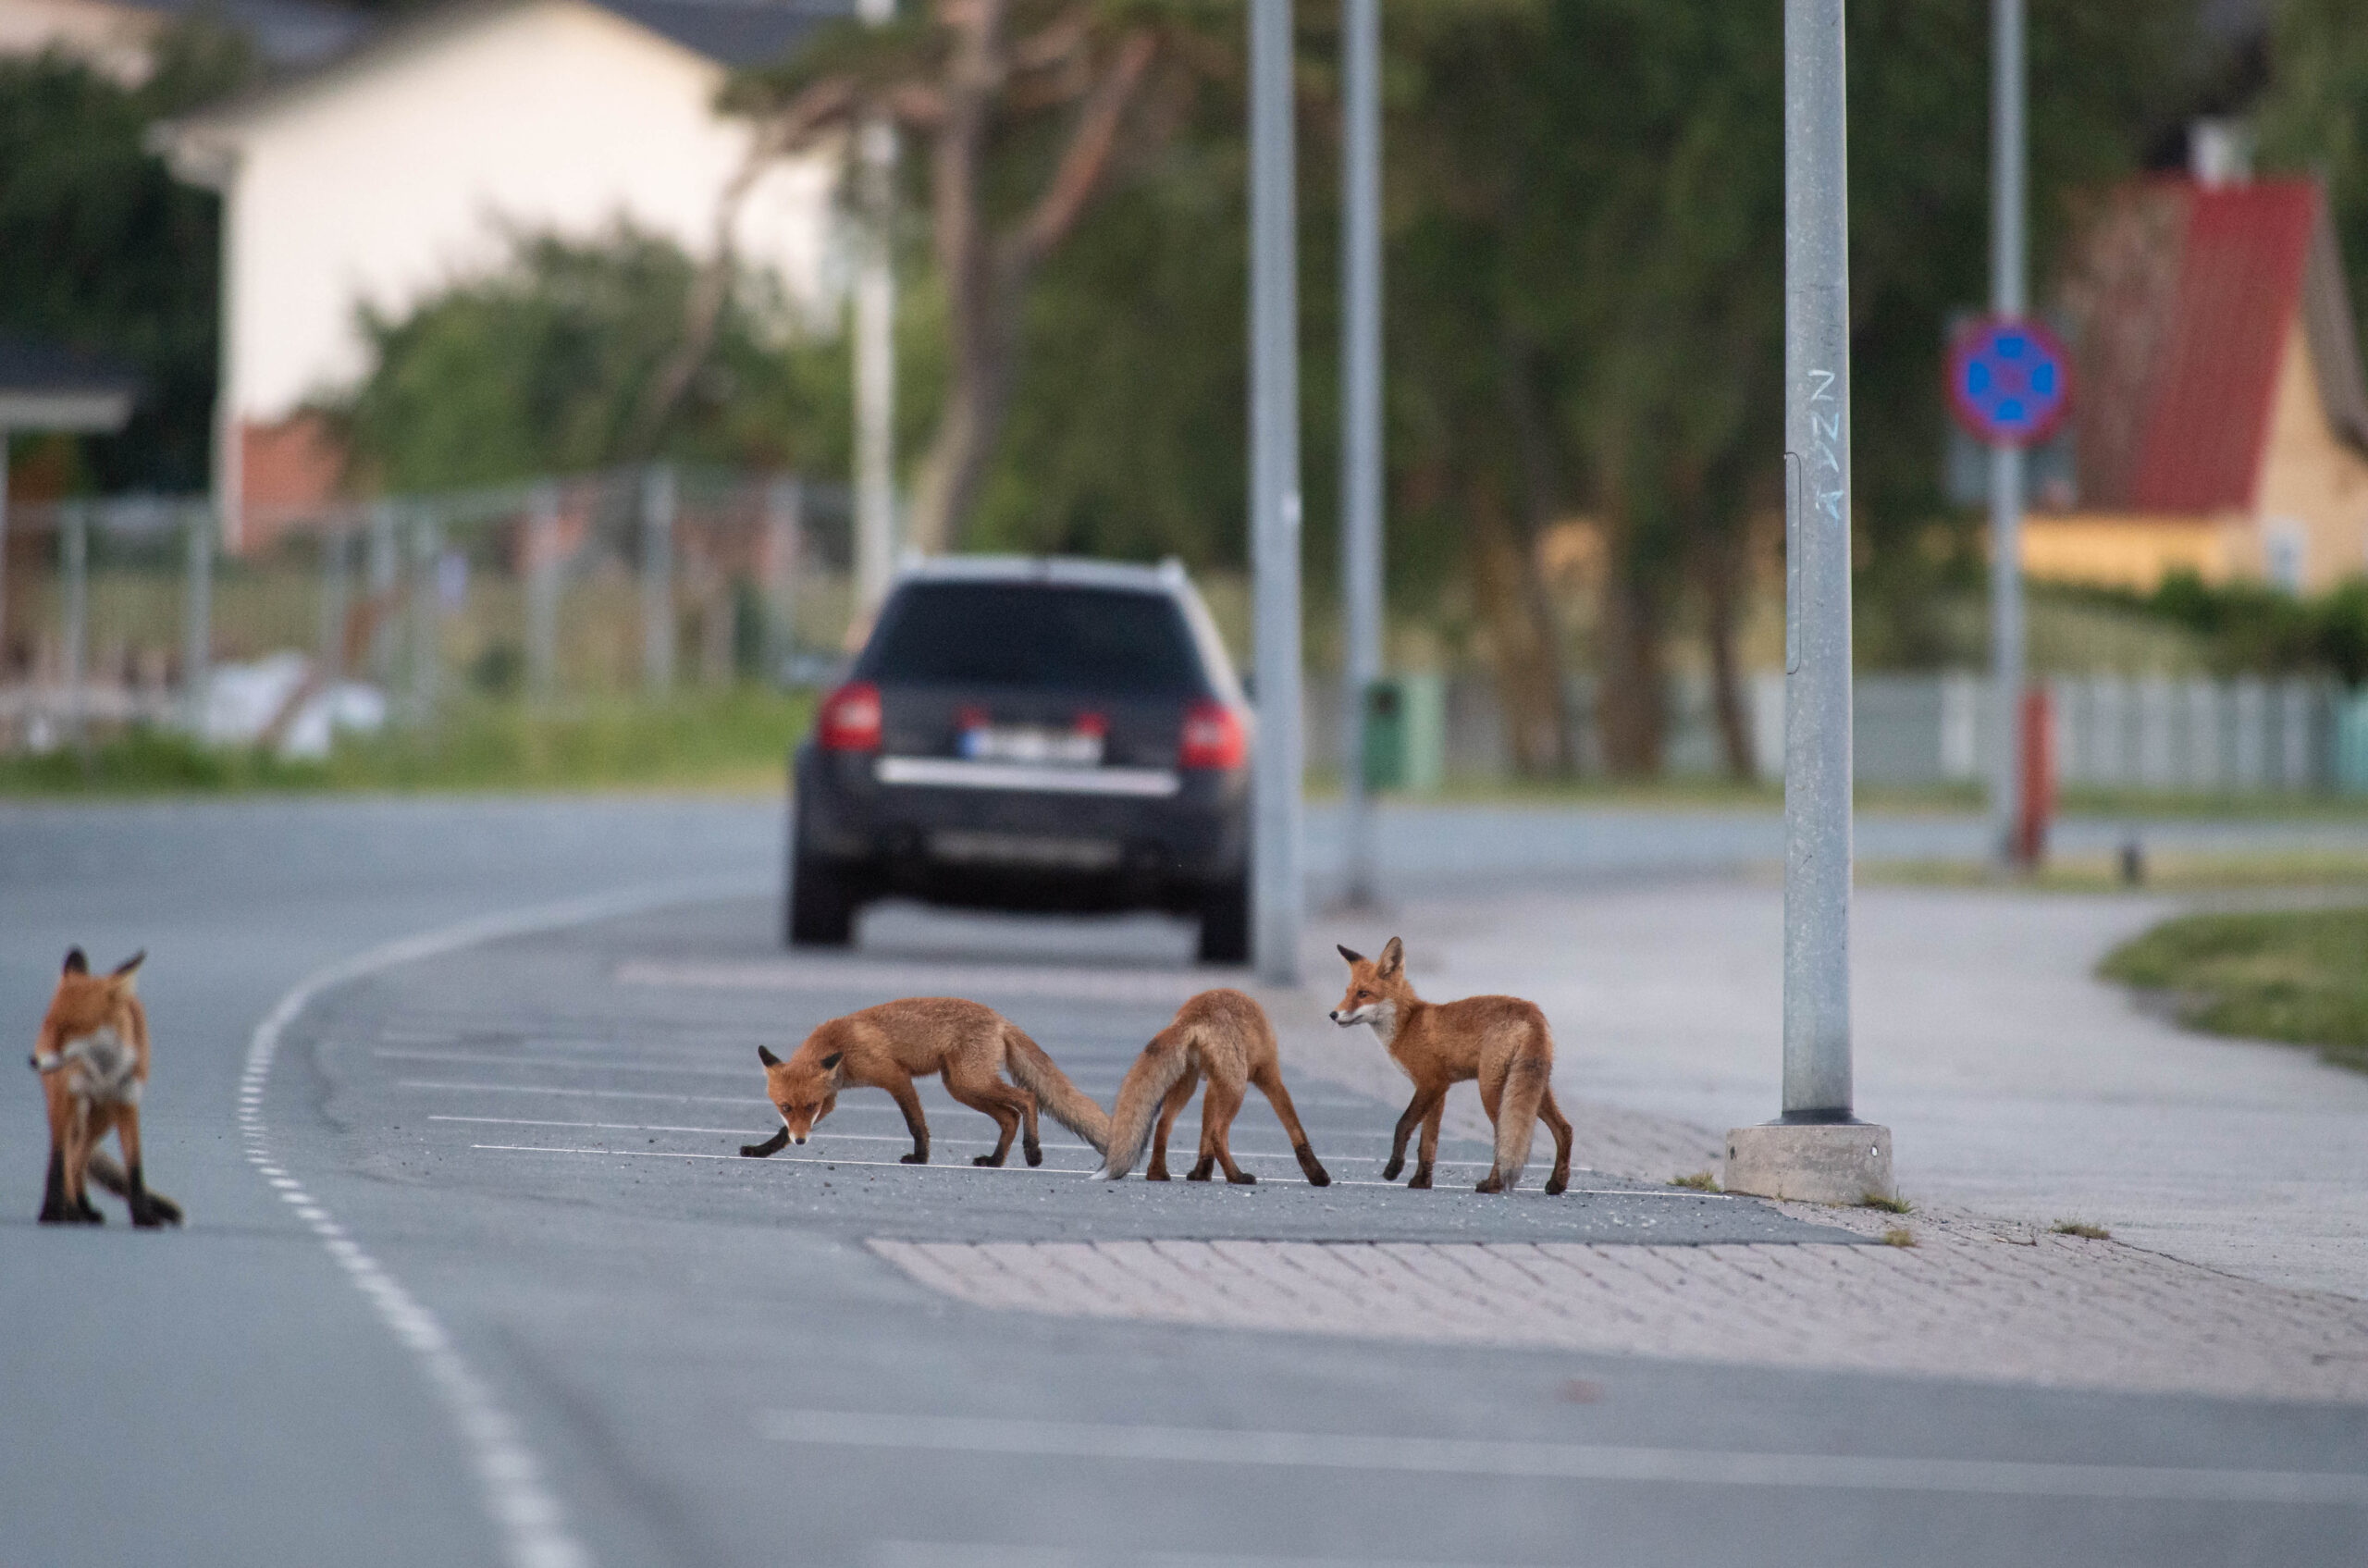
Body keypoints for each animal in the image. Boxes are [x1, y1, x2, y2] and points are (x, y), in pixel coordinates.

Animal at [30, 952, 184, 1231]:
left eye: (70, 1027)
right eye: (49, 1024)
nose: (33, 1061)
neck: (102, 1070)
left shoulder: (126, 1102)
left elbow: (134, 1168)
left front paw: (143, 1217)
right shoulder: (66, 1096)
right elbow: (57, 1163)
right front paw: (51, 1212)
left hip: (102, 1118)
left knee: (79, 1157)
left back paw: (81, 1208)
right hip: (71, 1108)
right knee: (70, 1156)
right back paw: (72, 1210)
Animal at [738, 1008, 1108, 1165]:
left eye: (809, 1106)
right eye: (786, 1107)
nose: (803, 1142)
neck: (841, 1047)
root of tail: (1001, 1019)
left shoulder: (896, 1077)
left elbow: (916, 1124)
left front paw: (920, 1158)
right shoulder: (830, 1097)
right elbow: (781, 1133)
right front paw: (761, 1150)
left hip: (970, 1081)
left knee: (1028, 1098)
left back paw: (1032, 1152)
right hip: (961, 1087)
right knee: (1009, 1116)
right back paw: (994, 1160)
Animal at [1089, 994, 1335, 1193]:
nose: (1333, 1015)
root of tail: (1191, 1016)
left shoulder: (1213, 1085)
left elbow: (1204, 1140)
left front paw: (1200, 1174)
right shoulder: (1269, 1075)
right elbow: (1295, 1129)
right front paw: (1317, 1174)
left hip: (1188, 1083)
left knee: (1163, 1125)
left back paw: (1157, 1173)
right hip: (1237, 1088)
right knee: (1218, 1133)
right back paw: (1237, 1177)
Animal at [1335, 937, 1572, 1198]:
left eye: (1363, 994)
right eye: (1347, 993)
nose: (1333, 1014)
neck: (1408, 1024)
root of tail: (1533, 1011)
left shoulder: (1430, 1083)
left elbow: (1403, 1125)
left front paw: (1393, 1169)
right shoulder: (1439, 1090)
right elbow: (1428, 1143)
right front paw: (1422, 1181)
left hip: (1492, 1089)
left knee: (1503, 1136)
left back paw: (1493, 1185)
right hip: (1533, 1088)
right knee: (1565, 1130)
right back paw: (1557, 1184)